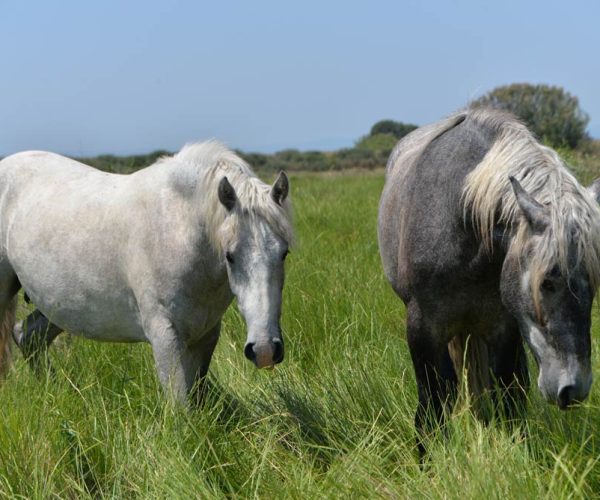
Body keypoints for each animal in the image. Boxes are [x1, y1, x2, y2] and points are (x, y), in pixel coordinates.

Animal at [0, 141, 292, 402]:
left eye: (284, 253)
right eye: (230, 256)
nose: (265, 351)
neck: (179, 230)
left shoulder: (205, 335)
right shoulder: (165, 336)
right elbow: (180, 406)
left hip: (59, 306)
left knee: (28, 336)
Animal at [378, 108, 600, 454]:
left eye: (593, 284)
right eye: (547, 282)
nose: (573, 389)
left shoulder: (503, 328)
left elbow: (507, 397)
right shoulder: (423, 329)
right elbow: (431, 405)